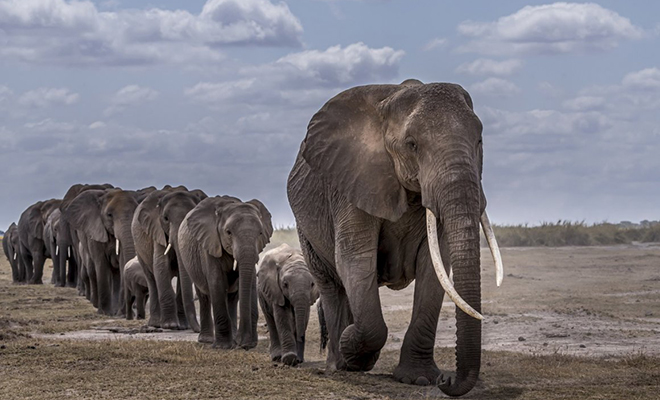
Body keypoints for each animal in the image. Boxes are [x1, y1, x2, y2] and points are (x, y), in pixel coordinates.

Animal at [65, 188, 140, 316]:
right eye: (109, 215)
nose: (132, 313)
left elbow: (122, 263)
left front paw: (121, 314)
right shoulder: (95, 231)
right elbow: (101, 264)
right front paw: (105, 313)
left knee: (116, 273)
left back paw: (115, 310)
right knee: (92, 271)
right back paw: (97, 305)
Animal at [128, 186, 201, 330]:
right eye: (166, 219)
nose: (198, 329)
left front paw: (182, 326)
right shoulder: (157, 230)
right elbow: (161, 266)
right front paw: (170, 326)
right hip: (139, 250)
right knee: (152, 280)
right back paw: (156, 324)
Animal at [177, 195, 272, 348]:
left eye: (260, 233)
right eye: (228, 232)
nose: (243, 343)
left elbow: (250, 282)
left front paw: (245, 343)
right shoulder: (210, 243)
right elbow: (216, 282)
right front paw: (223, 347)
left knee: (232, 297)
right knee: (204, 296)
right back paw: (207, 340)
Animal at [286, 79, 502, 396]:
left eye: (479, 141)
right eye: (412, 145)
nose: (447, 381)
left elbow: (435, 266)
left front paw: (419, 379)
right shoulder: (353, 181)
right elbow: (355, 257)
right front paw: (352, 350)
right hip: (306, 228)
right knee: (332, 284)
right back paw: (339, 363)